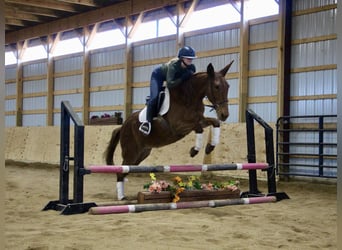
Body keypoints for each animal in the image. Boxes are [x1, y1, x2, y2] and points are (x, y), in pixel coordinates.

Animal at [103, 60, 234, 199]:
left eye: (228, 86)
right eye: (216, 86)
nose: (224, 115)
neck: (189, 97)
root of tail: (123, 126)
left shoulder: (201, 120)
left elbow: (215, 122)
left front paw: (210, 147)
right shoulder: (178, 127)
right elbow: (198, 128)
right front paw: (194, 150)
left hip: (141, 153)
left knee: (125, 170)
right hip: (131, 152)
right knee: (121, 171)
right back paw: (121, 197)